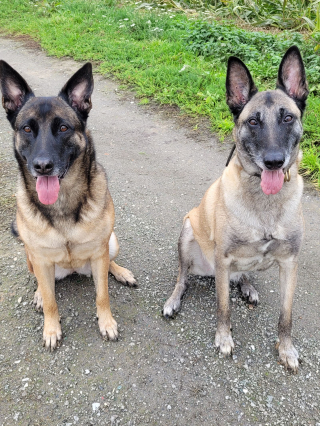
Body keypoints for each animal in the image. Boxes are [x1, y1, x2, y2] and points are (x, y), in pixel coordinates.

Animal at [0, 61, 136, 352]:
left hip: (111, 243)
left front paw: (106, 323)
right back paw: (40, 294)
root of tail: (74, 269)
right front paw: (51, 329)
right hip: (31, 256)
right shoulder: (40, 259)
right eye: (26, 129)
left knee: (109, 264)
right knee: (43, 284)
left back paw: (121, 272)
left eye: (63, 128)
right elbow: (52, 302)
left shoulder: (99, 253)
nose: (42, 166)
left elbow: (102, 295)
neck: (62, 203)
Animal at [164, 46, 308, 372]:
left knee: (241, 275)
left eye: (288, 118)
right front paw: (224, 338)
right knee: (182, 278)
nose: (274, 161)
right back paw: (174, 299)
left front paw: (286, 349)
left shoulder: (289, 264)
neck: (265, 204)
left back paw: (247, 286)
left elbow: (286, 317)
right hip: (188, 231)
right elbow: (223, 307)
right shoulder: (223, 258)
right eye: (253, 122)